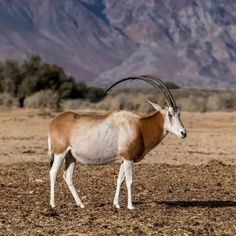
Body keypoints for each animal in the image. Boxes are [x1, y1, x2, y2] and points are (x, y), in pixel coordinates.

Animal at [48, 75, 187, 208]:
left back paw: (81, 204)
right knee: (53, 173)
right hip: (60, 153)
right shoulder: (128, 158)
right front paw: (130, 206)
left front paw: (117, 204)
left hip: (70, 156)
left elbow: (119, 180)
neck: (139, 126)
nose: (183, 133)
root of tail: (53, 122)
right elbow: (130, 181)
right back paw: (53, 204)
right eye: (169, 114)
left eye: (179, 113)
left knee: (68, 177)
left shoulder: (123, 159)